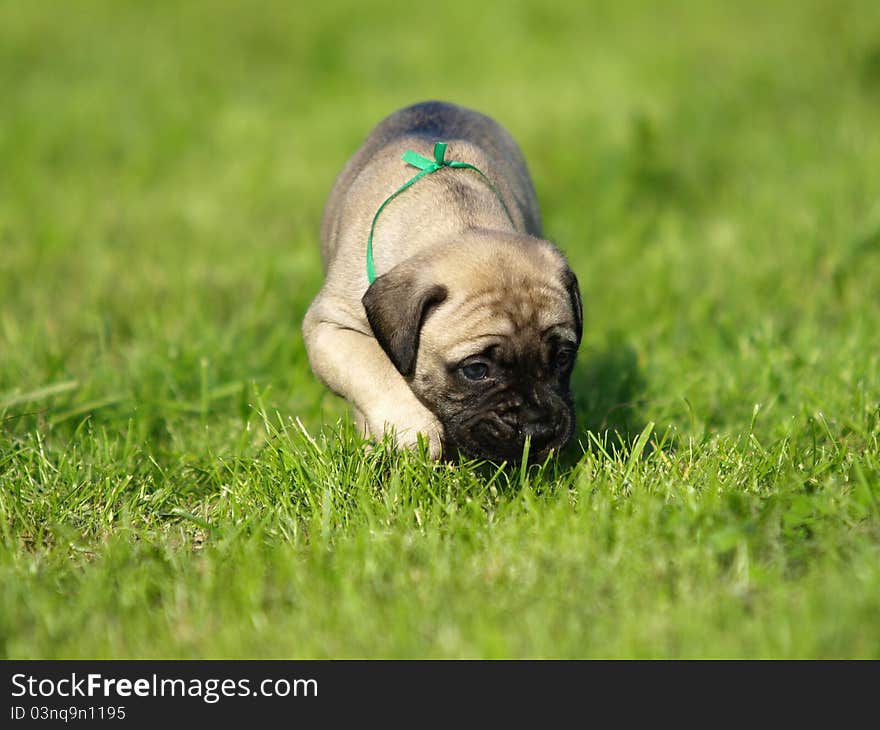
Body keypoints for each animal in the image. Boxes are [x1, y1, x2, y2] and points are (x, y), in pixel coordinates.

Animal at [304, 101, 584, 460]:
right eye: (476, 370)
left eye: (563, 358)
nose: (539, 430)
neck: (459, 220)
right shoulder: (331, 328)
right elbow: (376, 371)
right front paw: (416, 433)